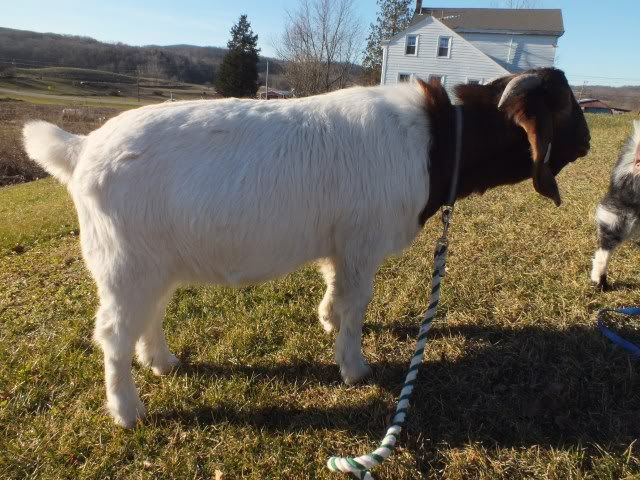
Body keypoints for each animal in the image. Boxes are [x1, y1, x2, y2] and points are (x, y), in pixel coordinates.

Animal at [23, 68, 590, 427]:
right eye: (565, 105)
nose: (587, 144)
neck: (435, 141)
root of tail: (81, 148)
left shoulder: (340, 243)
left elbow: (336, 287)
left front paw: (327, 321)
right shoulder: (361, 241)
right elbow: (357, 302)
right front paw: (355, 368)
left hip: (153, 265)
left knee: (149, 315)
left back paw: (163, 362)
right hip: (124, 265)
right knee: (113, 335)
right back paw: (127, 412)